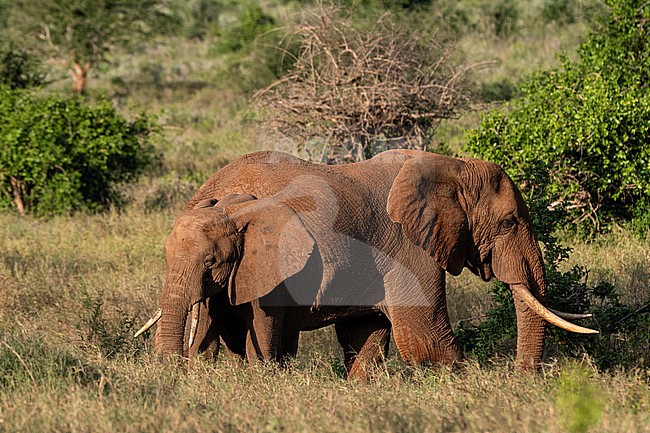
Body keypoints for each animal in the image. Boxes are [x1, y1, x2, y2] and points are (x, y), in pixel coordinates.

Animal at [136, 149, 596, 377]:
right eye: (509, 223)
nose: (522, 379)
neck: (453, 167)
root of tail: (204, 190)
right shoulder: (408, 247)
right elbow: (424, 340)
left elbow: (366, 337)